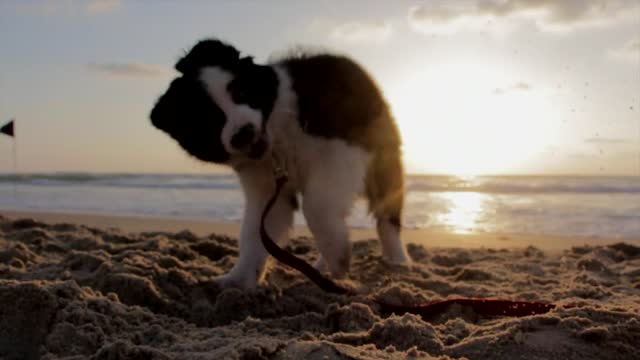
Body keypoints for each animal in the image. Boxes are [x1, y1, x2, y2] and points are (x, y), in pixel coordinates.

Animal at [150, 38, 410, 290]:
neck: (277, 135)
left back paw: (397, 260)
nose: (244, 133)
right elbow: (254, 232)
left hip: (383, 160)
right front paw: (238, 280)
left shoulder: (341, 151)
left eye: (242, 91)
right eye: (207, 122)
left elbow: (316, 207)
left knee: (386, 215)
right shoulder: (267, 188)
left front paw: (337, 255)